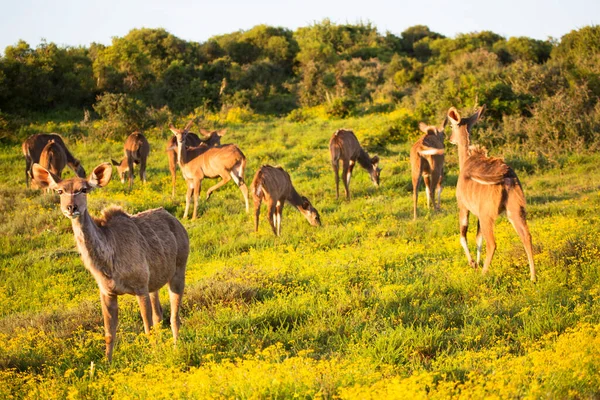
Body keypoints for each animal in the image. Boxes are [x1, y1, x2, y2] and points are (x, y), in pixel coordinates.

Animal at [30, 161, 189, 360]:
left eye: (83, 189)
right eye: (60, 191)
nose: (71, 208)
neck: (109, 263)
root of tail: (179, 224)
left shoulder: (140, 286)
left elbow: (147, 328)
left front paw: (155, 356)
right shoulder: (107, 292)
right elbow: (109, 333)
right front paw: (107, 363)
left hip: (179, 270)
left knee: (174, 316)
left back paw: (175, 348)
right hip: (155, 283)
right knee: (159, 314)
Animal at [448, 106, 536, 282]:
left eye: (451, 126)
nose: (450, 139)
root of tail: (506, 175)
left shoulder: (464, 207)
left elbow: (463, 235)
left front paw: (473, 264)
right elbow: (478, 238)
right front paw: (476, 263)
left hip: (487, 215)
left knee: (492, 243)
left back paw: (483, 274)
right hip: (515, 211)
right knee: (526, 236)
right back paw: (533, 278)